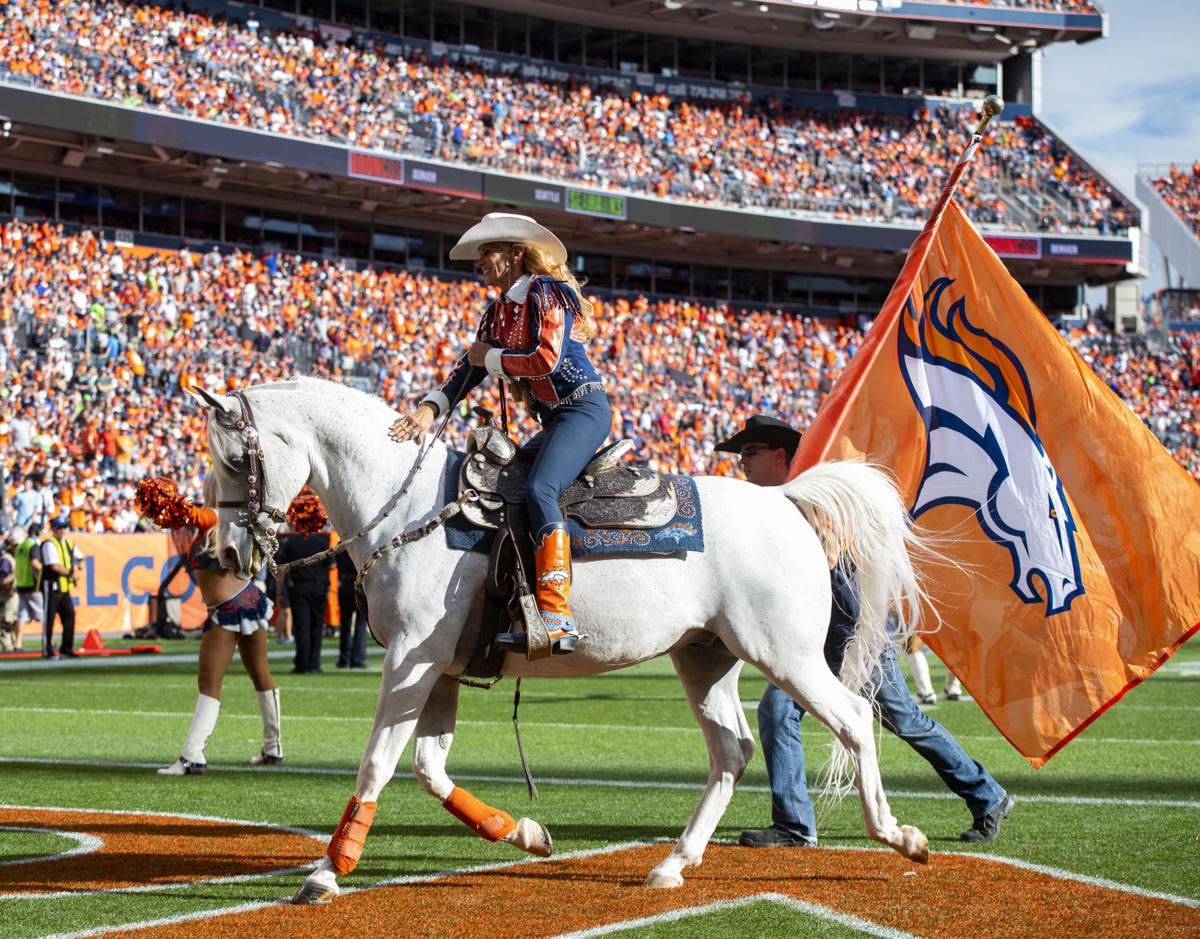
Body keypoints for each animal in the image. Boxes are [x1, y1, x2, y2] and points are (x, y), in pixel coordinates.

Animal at [189, 377, 936, 902]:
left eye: (234, 458)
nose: (224, 553)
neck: (408, 510)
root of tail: (785, 500)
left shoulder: (409, 662)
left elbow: (377, 763)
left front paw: (326, 871)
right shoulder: (440, 669)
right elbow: (429, 768)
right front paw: (523, 832)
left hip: (787, 655)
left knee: (855, 719)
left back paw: (899, 835)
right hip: (706, 657)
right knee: (732, 749)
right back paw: (673, 862)